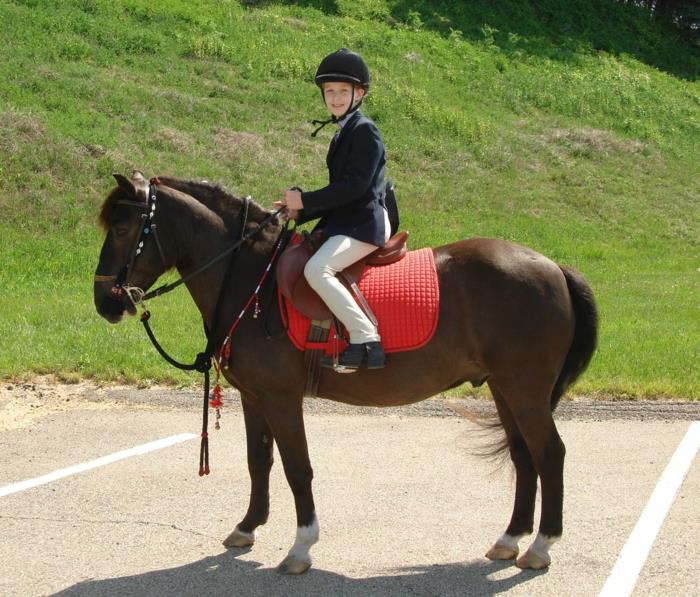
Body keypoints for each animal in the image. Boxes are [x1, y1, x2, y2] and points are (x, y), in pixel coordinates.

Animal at [93, 171, 596, 572]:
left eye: (122, 227)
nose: (105, 302)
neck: (254, 278)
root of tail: (554, 267)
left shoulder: (281, 398)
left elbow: (298, 468)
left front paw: (301, 546)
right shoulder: (253, 397)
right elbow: (259, 462)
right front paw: (248, 527)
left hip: (525, 389)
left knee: (549, 454)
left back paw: (541, 546)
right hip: (504, 389)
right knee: (524, 456)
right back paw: (510, 539)